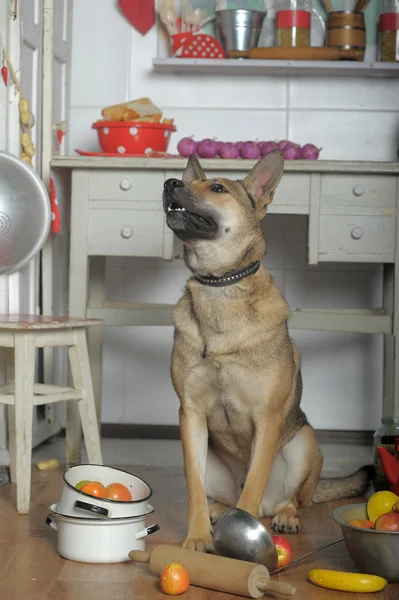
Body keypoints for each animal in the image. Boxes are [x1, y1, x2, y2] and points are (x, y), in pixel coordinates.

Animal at [162, 152, 372, 556]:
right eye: (190, 181)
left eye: (217, 188)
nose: (169, 183)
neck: (219, 286)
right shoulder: (189, 415)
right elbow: (193, 488)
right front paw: (198, 537)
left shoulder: (268, 417)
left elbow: (256, 482)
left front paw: (242, 540)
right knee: (226, 497)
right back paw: (217, 510)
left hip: (304, 443)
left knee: (285, 500)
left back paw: (283, 515)